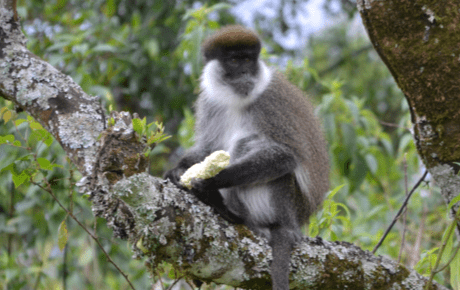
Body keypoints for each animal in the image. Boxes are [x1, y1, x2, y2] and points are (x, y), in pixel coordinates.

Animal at [164, 25, 328, 290]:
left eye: (248, 60)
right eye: (234, 61)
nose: (244, 73)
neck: (237, 99)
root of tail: (295, 223)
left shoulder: (270, 102)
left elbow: (286, 157)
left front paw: (212, 181)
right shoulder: (210, 102)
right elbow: (208, 148)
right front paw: (177, 171)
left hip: (287, 204)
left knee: (249, 146)